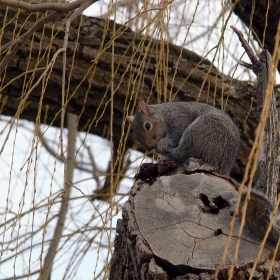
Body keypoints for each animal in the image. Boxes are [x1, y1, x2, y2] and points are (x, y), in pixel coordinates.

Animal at [127, 100, 280, 247]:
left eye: (147, 126)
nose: (151, 147)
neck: (164, 114)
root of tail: (221, 167)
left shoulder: (178, 118)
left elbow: (175, 133)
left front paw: (163, 144)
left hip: (200, 129)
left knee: (182, 153)